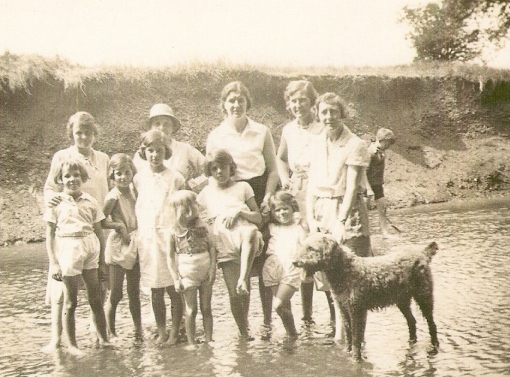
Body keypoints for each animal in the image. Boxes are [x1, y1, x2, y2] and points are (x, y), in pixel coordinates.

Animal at [294, 234, 438, 360]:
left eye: (311, 248)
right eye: (303, 246)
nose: (294, 262)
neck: (345, 271)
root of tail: (422, 253)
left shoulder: (357, 311)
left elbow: (356, 338)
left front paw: (356, 359)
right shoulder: (344, 310)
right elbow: (349, 335)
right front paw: (348, 352)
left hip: (424, 297)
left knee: (432, 324)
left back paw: (434, 345)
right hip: (402, 301)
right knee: (412, 322)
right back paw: (412, 342)